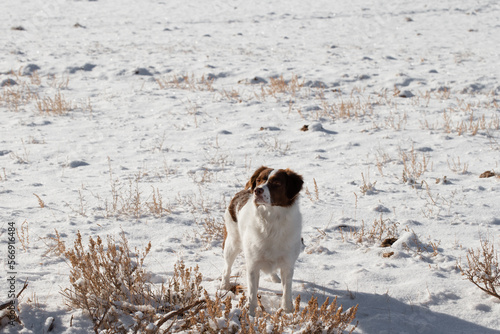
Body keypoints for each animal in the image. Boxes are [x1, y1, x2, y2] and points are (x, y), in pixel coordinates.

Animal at [220, 167, 304, 316]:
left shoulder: (288, 264)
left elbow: (286, 290)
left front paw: (287, 310)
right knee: (227, 268)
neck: (271, 221)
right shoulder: (253, 264)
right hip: (232, 243)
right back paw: (225, 285)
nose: (257, 190)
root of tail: (241, 192)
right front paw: (251, 313)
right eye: (259, 180)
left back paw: (274, 277)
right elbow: (252, 293)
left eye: (277, 182)